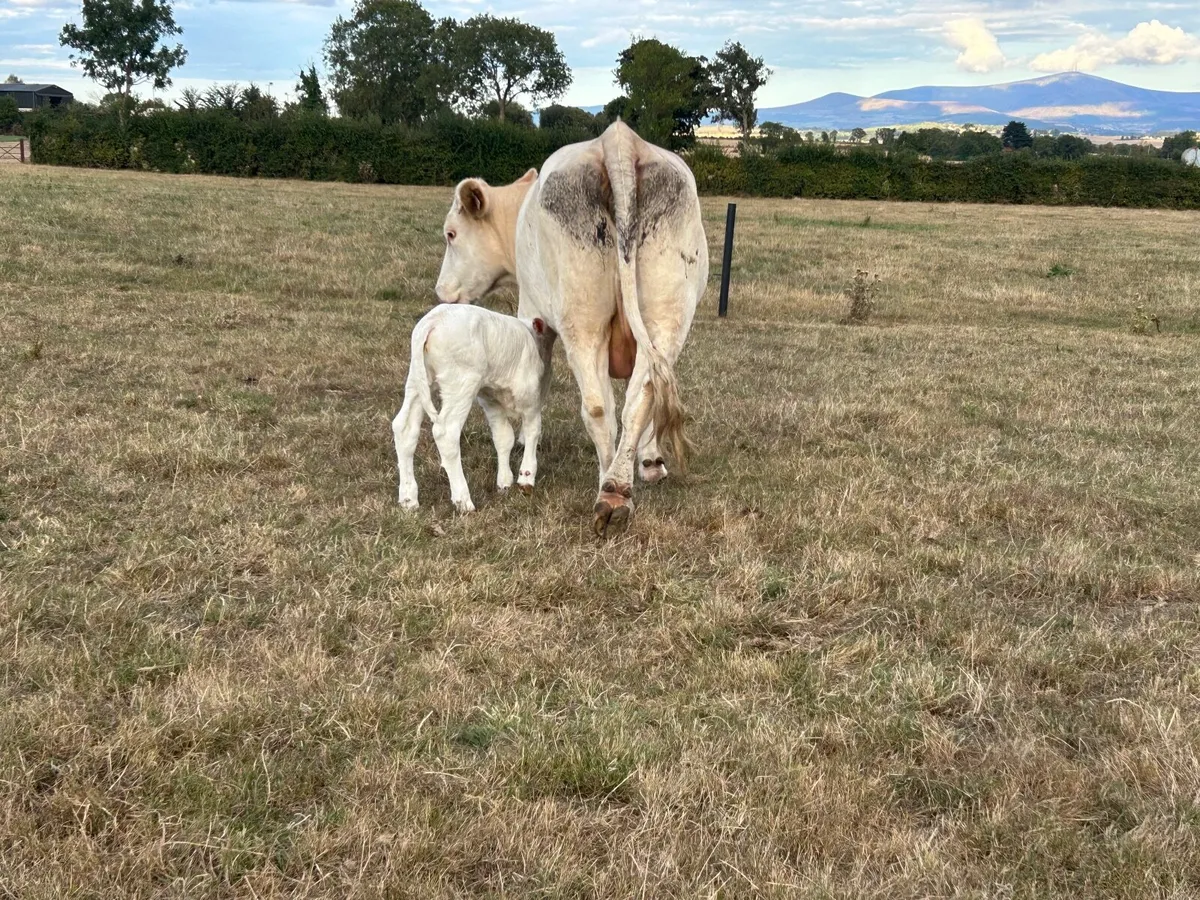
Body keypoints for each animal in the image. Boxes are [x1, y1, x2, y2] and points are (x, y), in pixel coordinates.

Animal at [392, 303, 554, 513]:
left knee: (404, 428)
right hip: (461, 382)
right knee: (446, 432)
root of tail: (434, 320)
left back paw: (408, 499)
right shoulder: (530, 399)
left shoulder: (490, 401)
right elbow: (533, 431)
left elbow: (504, 438)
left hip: (418, 379)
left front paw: (504, 482)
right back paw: (463, 500)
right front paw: (526, 477)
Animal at [434, 121, 709, 536]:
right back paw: (620, 485)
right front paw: (650, 460)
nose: (441, 291)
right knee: (641, 396)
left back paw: (609, 489)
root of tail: (619, 139)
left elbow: (537, 387)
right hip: (668, 315)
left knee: (598, 406)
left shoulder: (535, 320)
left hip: (582, 319)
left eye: (451, 233)